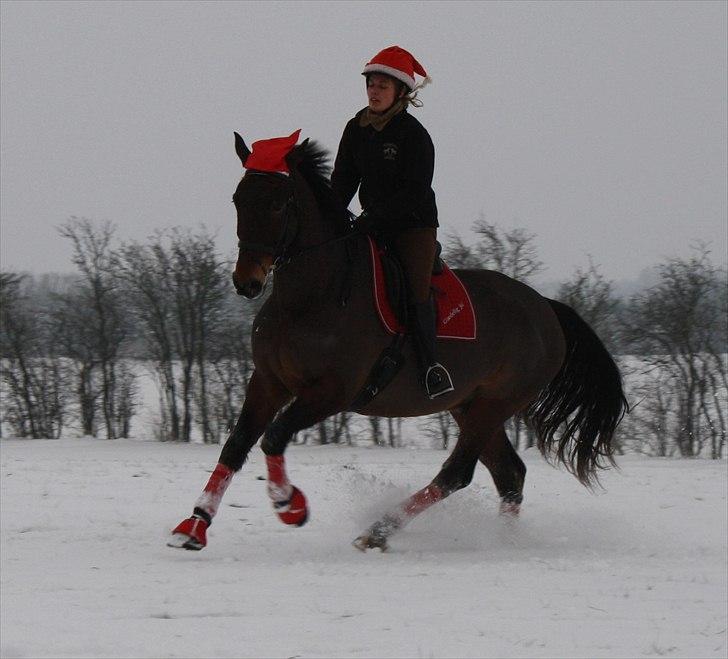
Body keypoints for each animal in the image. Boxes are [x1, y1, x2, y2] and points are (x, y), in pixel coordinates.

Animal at [168, 133, 628, 552]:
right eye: (238, 199)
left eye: (279, 203)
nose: (246, 282)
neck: (308, 298)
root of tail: (546, 308)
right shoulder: (267, 382)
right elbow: (236, 445)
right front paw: (194, 526)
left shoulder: (331, 393)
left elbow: (274, 437)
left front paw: (289, 505)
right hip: (471, 405)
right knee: (509, 474)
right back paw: (503, 541)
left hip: (495, 403)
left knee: (457, 473)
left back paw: (378, 531)